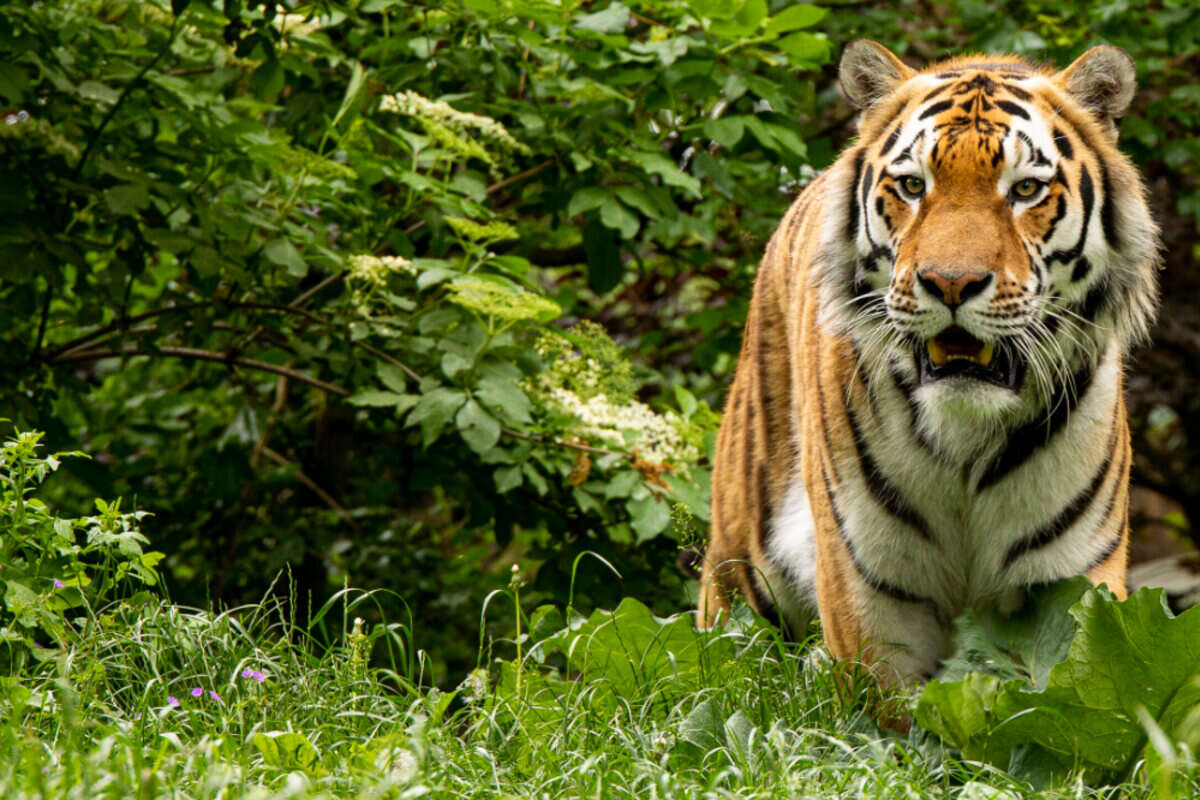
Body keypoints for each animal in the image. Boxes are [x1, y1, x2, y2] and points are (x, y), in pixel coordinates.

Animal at [700, 40, 1156, 686]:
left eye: (1025, 190)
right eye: (914, 186)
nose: (951, 282)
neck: (967, 437)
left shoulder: (1075, 584)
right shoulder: (873, 602)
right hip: (740, 570)